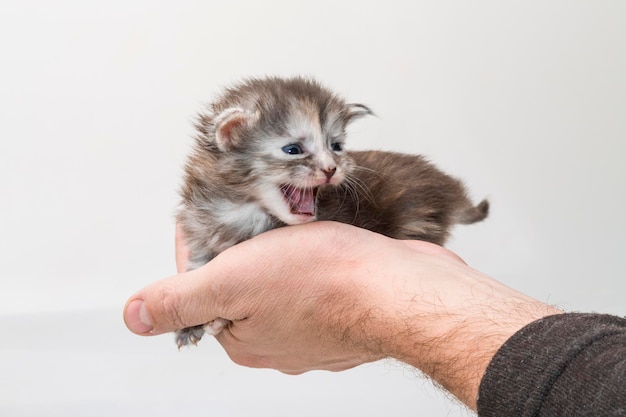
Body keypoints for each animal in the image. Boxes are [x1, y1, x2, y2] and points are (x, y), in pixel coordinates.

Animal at [176, 75, 488, 348]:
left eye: (336, 146)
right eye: (293, 149)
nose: (330, 168)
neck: (243, 209)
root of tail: (446, 186)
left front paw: (218, 320)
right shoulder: (200, 233)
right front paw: (189, 327)